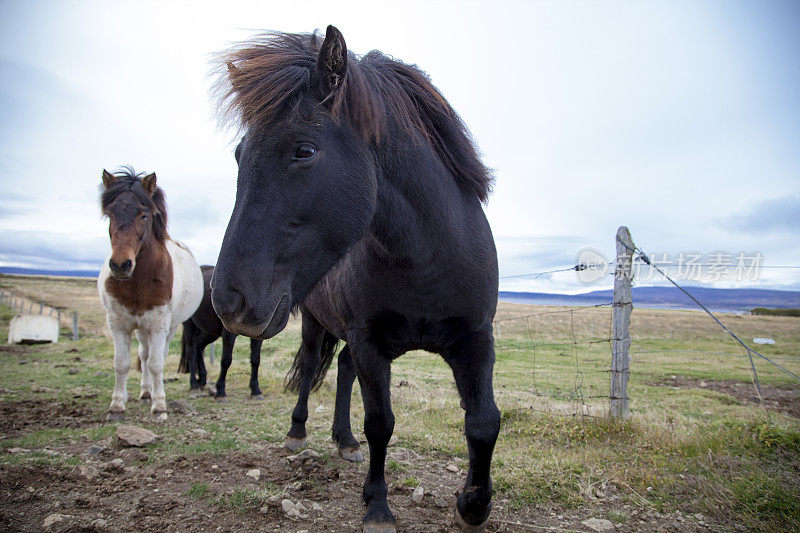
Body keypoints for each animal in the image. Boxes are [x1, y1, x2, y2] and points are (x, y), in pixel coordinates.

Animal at [97, 166, 203, 420]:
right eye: (110, 213)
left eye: (143, 215)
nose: (120, 265)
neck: (138, 282)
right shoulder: (118, 324)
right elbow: (121, 363)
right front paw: (116, 405)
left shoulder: (159, 325)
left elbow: (156, 363)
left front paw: (160, 407)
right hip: (140, 328)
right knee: (142, 354)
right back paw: (145, 391)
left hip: (168, 327)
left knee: (153, 356)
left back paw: (152, 393)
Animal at [212, 26, 500, 532]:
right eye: (239, 154)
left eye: (304, 150)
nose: (228, 300)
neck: (425, 259)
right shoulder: (370, 343)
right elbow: (380, 423)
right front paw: (378, 505)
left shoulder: (475, 338)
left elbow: (484, 422)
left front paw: (473, 504)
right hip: (314, 325)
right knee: (313, 366)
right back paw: (299, 431)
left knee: (343, 370)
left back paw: (344, 441)